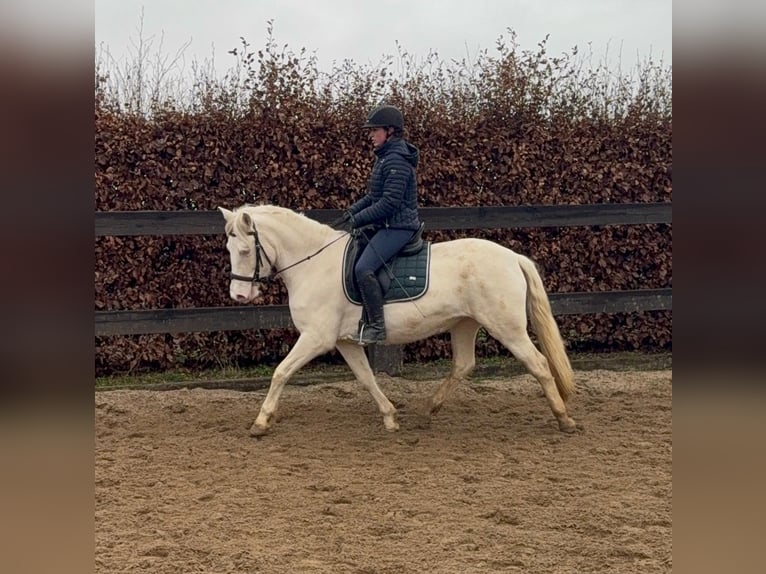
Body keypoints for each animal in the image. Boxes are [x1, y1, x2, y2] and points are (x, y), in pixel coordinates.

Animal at [219, 204, 577, 436]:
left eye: (245, 250)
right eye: (229, 249)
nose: (238, 296)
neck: (314, 264)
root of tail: (513, 257)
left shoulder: (316, 337)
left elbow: (281, 372)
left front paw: (260, 423)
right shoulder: (344, 341)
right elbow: (366, 378)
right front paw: (390, 417)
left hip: (507, 327)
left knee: (539, 365)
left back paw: (565, 420)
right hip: (465, 324)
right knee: (463, 365)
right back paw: (429, 411)